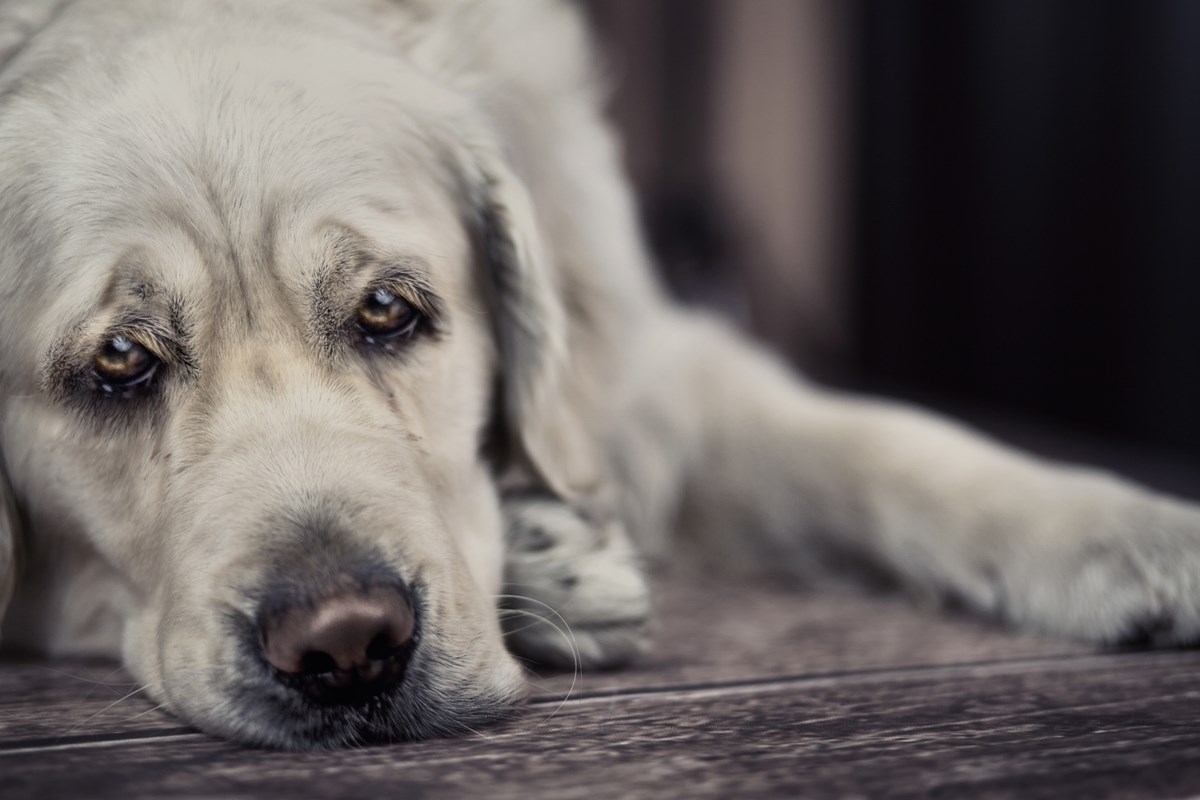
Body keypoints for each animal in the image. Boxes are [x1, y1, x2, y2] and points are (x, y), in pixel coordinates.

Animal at [2, 0, 1200, 753]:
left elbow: (884, 444)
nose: (347, 643)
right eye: (120, 361)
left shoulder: (649, 375)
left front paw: (1127, 530)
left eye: (388, 309)